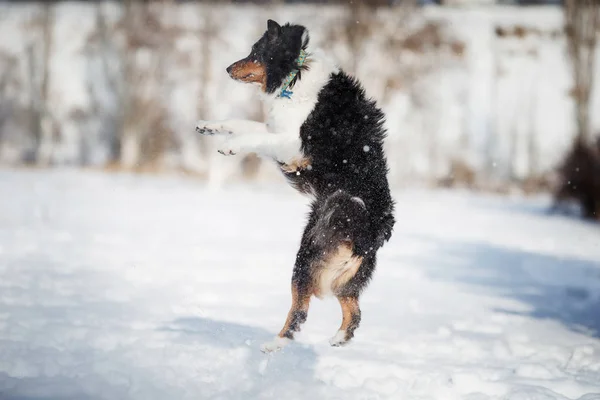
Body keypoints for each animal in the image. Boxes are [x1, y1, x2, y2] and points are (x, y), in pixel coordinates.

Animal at [195, 18, 396, 352]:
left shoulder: (293, 145)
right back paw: (338, 339)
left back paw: (274, 345)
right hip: (343, 276)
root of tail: (375, 231)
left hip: (307, 258)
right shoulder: (279, 134)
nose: (227, 68)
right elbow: (242, 123)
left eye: (256, 52)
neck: (294, 76)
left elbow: (252, 136)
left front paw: (230, 146)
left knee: (300, 310)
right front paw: (210, 126)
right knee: (353, 310)